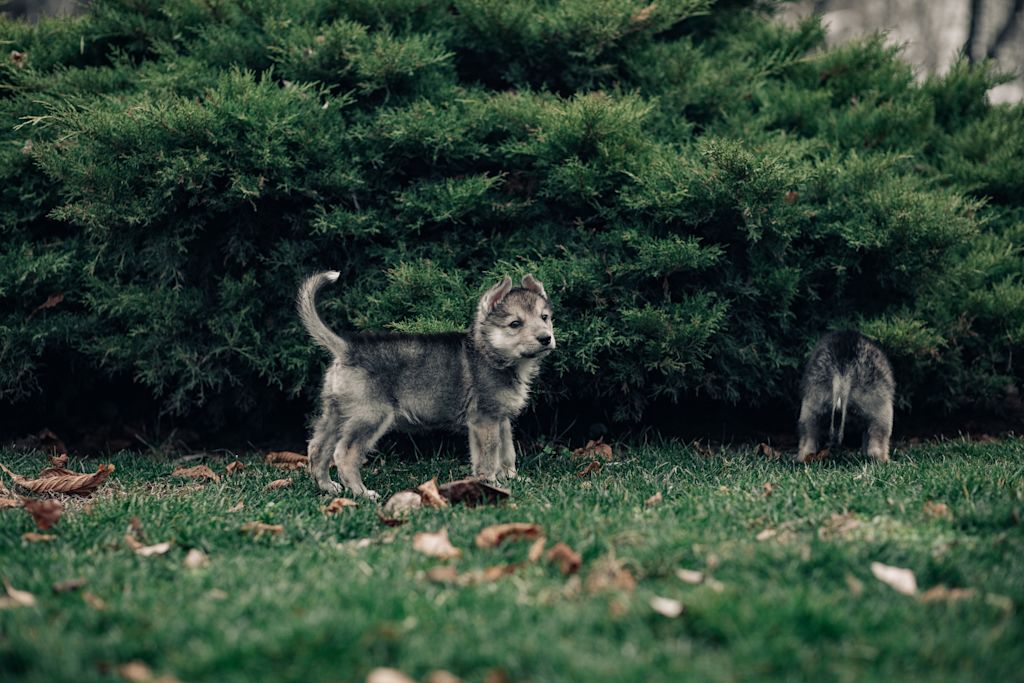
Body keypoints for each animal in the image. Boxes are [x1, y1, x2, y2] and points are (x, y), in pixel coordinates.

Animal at [298, 271, 555, 499]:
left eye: (544, 317)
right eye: (515, 323)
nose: (546, 338)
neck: (490, 354)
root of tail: (348, 348)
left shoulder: (501, 419)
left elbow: (507, 452)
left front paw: (512, 478)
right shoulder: (486, 420)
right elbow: (489, 456)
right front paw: (492, 483)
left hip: (336, 414)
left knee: (317, 448)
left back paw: (327, 486)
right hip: (370, 416)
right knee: (344, 454)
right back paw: (361, 492)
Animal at [797, 330, 895, 462]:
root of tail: (843, 372)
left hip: (813, 401)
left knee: (809, 432)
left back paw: (805, 456)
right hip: (881, 408)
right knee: (878, 437)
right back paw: (882, 459)